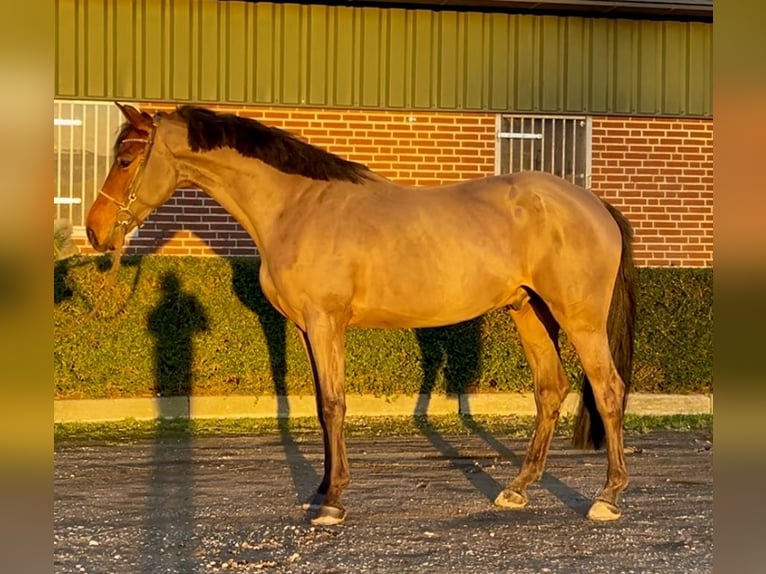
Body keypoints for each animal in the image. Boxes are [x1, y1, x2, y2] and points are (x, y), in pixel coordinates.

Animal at [85, 103, 636, 528]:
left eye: (126, 158)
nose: (94, 231)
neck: (296, 206)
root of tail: (595, 204)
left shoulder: (326, 322)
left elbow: (334, 405)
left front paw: (331, 502)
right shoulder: (306, 328)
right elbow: (319, 406)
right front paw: (320, 489)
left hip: (579, 319)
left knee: (607, 390)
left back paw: (607, 497)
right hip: (529, 311)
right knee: (550, 390)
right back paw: (517, 489)